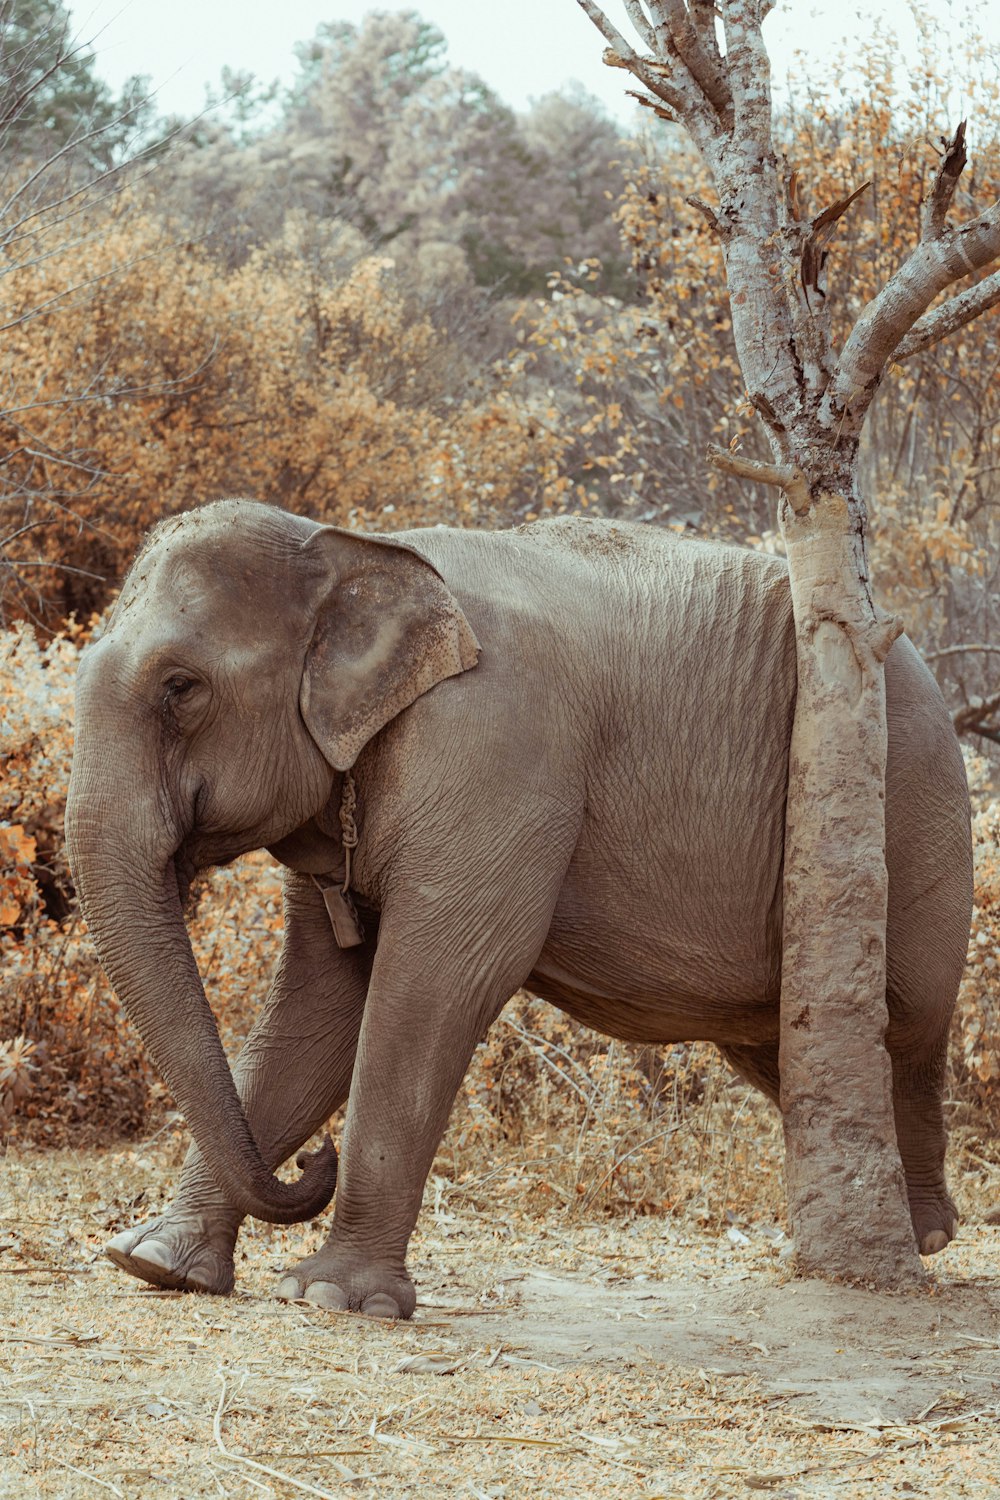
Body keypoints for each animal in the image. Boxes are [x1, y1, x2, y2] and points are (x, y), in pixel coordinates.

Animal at [64, 495, 971, 1314]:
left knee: (907, 1022)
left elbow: (435, 983)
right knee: (783, 1046)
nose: (312, 1161)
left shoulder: (496, 749)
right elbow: (319, 1005)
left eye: (181, 688)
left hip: (909, 800)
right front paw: (156, 1265)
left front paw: (330, 1297)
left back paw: (921, 1237)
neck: (351, 545)